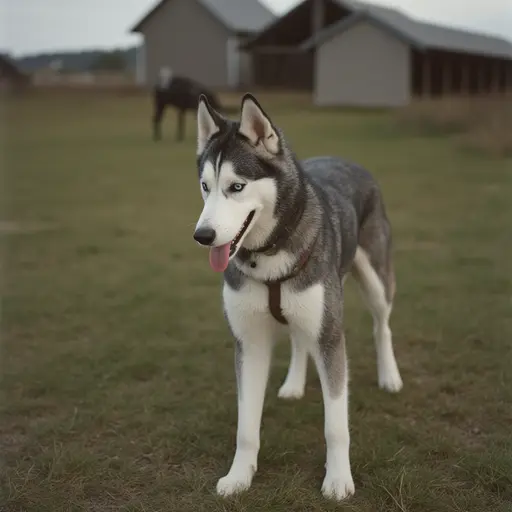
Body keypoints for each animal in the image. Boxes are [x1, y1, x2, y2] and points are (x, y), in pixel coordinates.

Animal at [192, 93, 404, 500]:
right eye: (205, 186)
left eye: (237, 187)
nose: (203, 236)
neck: (269, 252)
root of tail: (348, 160)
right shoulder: (249, 343)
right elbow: (246, 426)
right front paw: (239, 476)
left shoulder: (330, 337)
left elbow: (336, 426)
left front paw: (338, 480)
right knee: (297, 339)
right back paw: (293, 384)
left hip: (374, 280)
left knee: (382, 325)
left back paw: (390, 376)